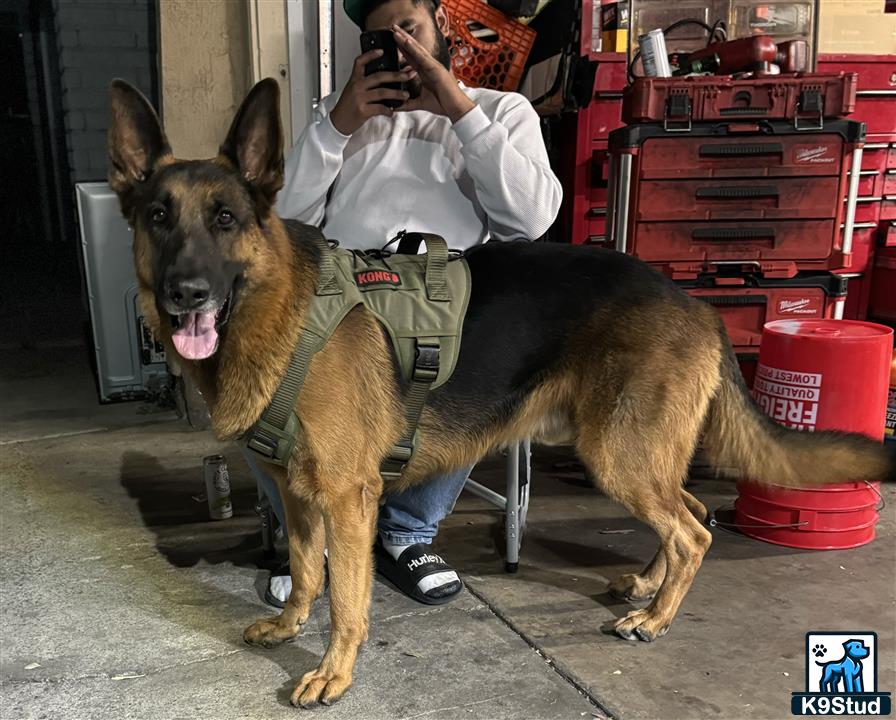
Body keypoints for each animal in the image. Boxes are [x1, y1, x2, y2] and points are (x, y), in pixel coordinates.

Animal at [107, 77, 896, 704]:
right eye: (157, 218)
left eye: (226, 219)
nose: (185, 294)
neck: (280, 307)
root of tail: (692, 303)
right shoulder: (299, 495)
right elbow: (304, 575)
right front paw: (289, 623)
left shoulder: (346, 497)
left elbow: (347, 599)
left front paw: (334, 673)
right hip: (638, 455)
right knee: (690, 512)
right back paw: (646, 586)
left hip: (618, 455)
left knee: (696, 531)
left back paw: (656, 617)